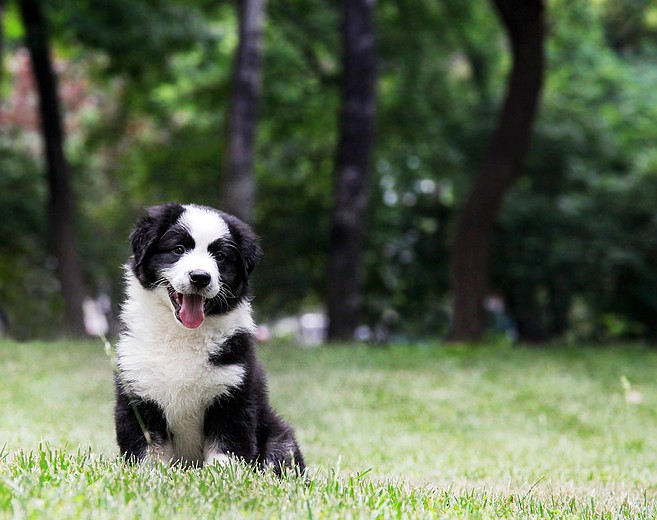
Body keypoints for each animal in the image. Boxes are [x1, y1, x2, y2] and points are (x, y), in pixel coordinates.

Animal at [113, 203, 304, 476]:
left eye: (221, 257)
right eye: (178, 249)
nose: (200, 277)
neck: (182, 335)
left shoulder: (232, 393)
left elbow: (226, 448)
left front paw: (221, 478)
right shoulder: (138, 391)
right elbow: (148, 449)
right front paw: (150, 475)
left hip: (279, 438)